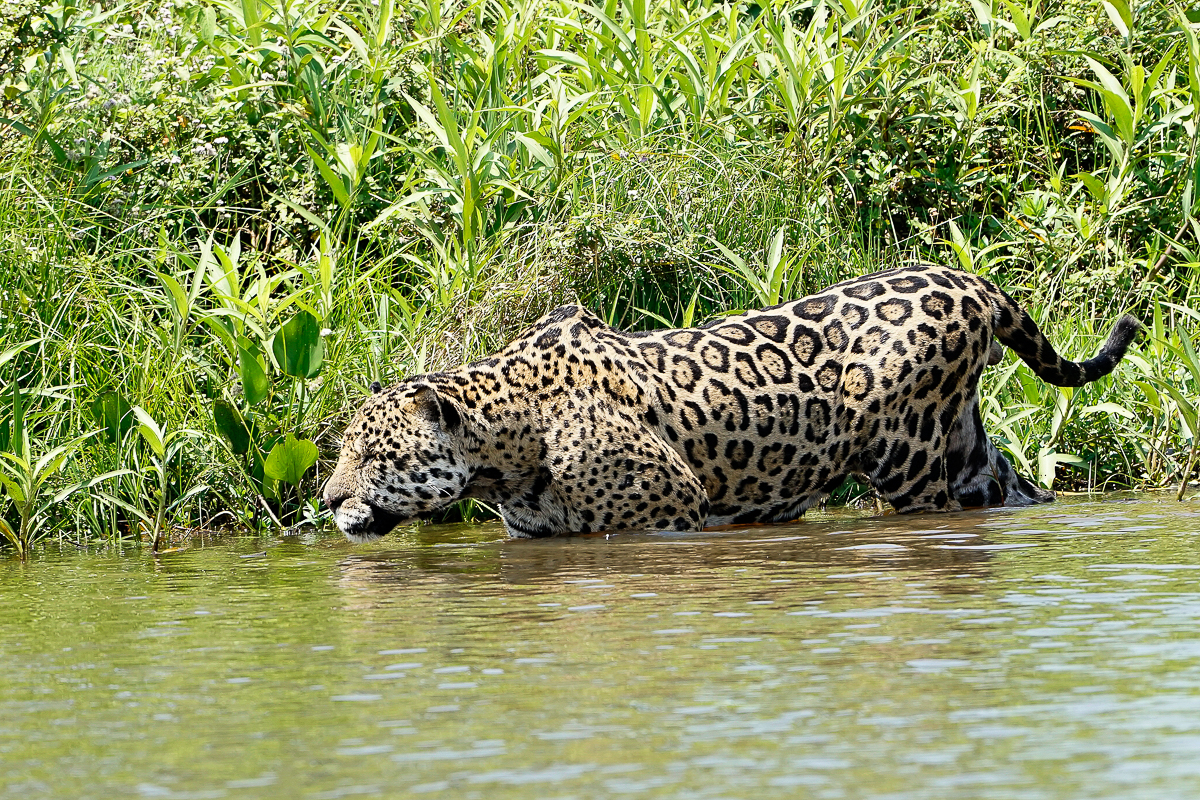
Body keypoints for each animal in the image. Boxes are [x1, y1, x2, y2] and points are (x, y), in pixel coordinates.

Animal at [323, 264, 1140, 542]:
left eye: (371, 455)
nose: (327, 499)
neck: (505, 450)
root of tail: (968, 278)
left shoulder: (670, 518)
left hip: (910, 465)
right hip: (968, 455)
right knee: (1018, 492)